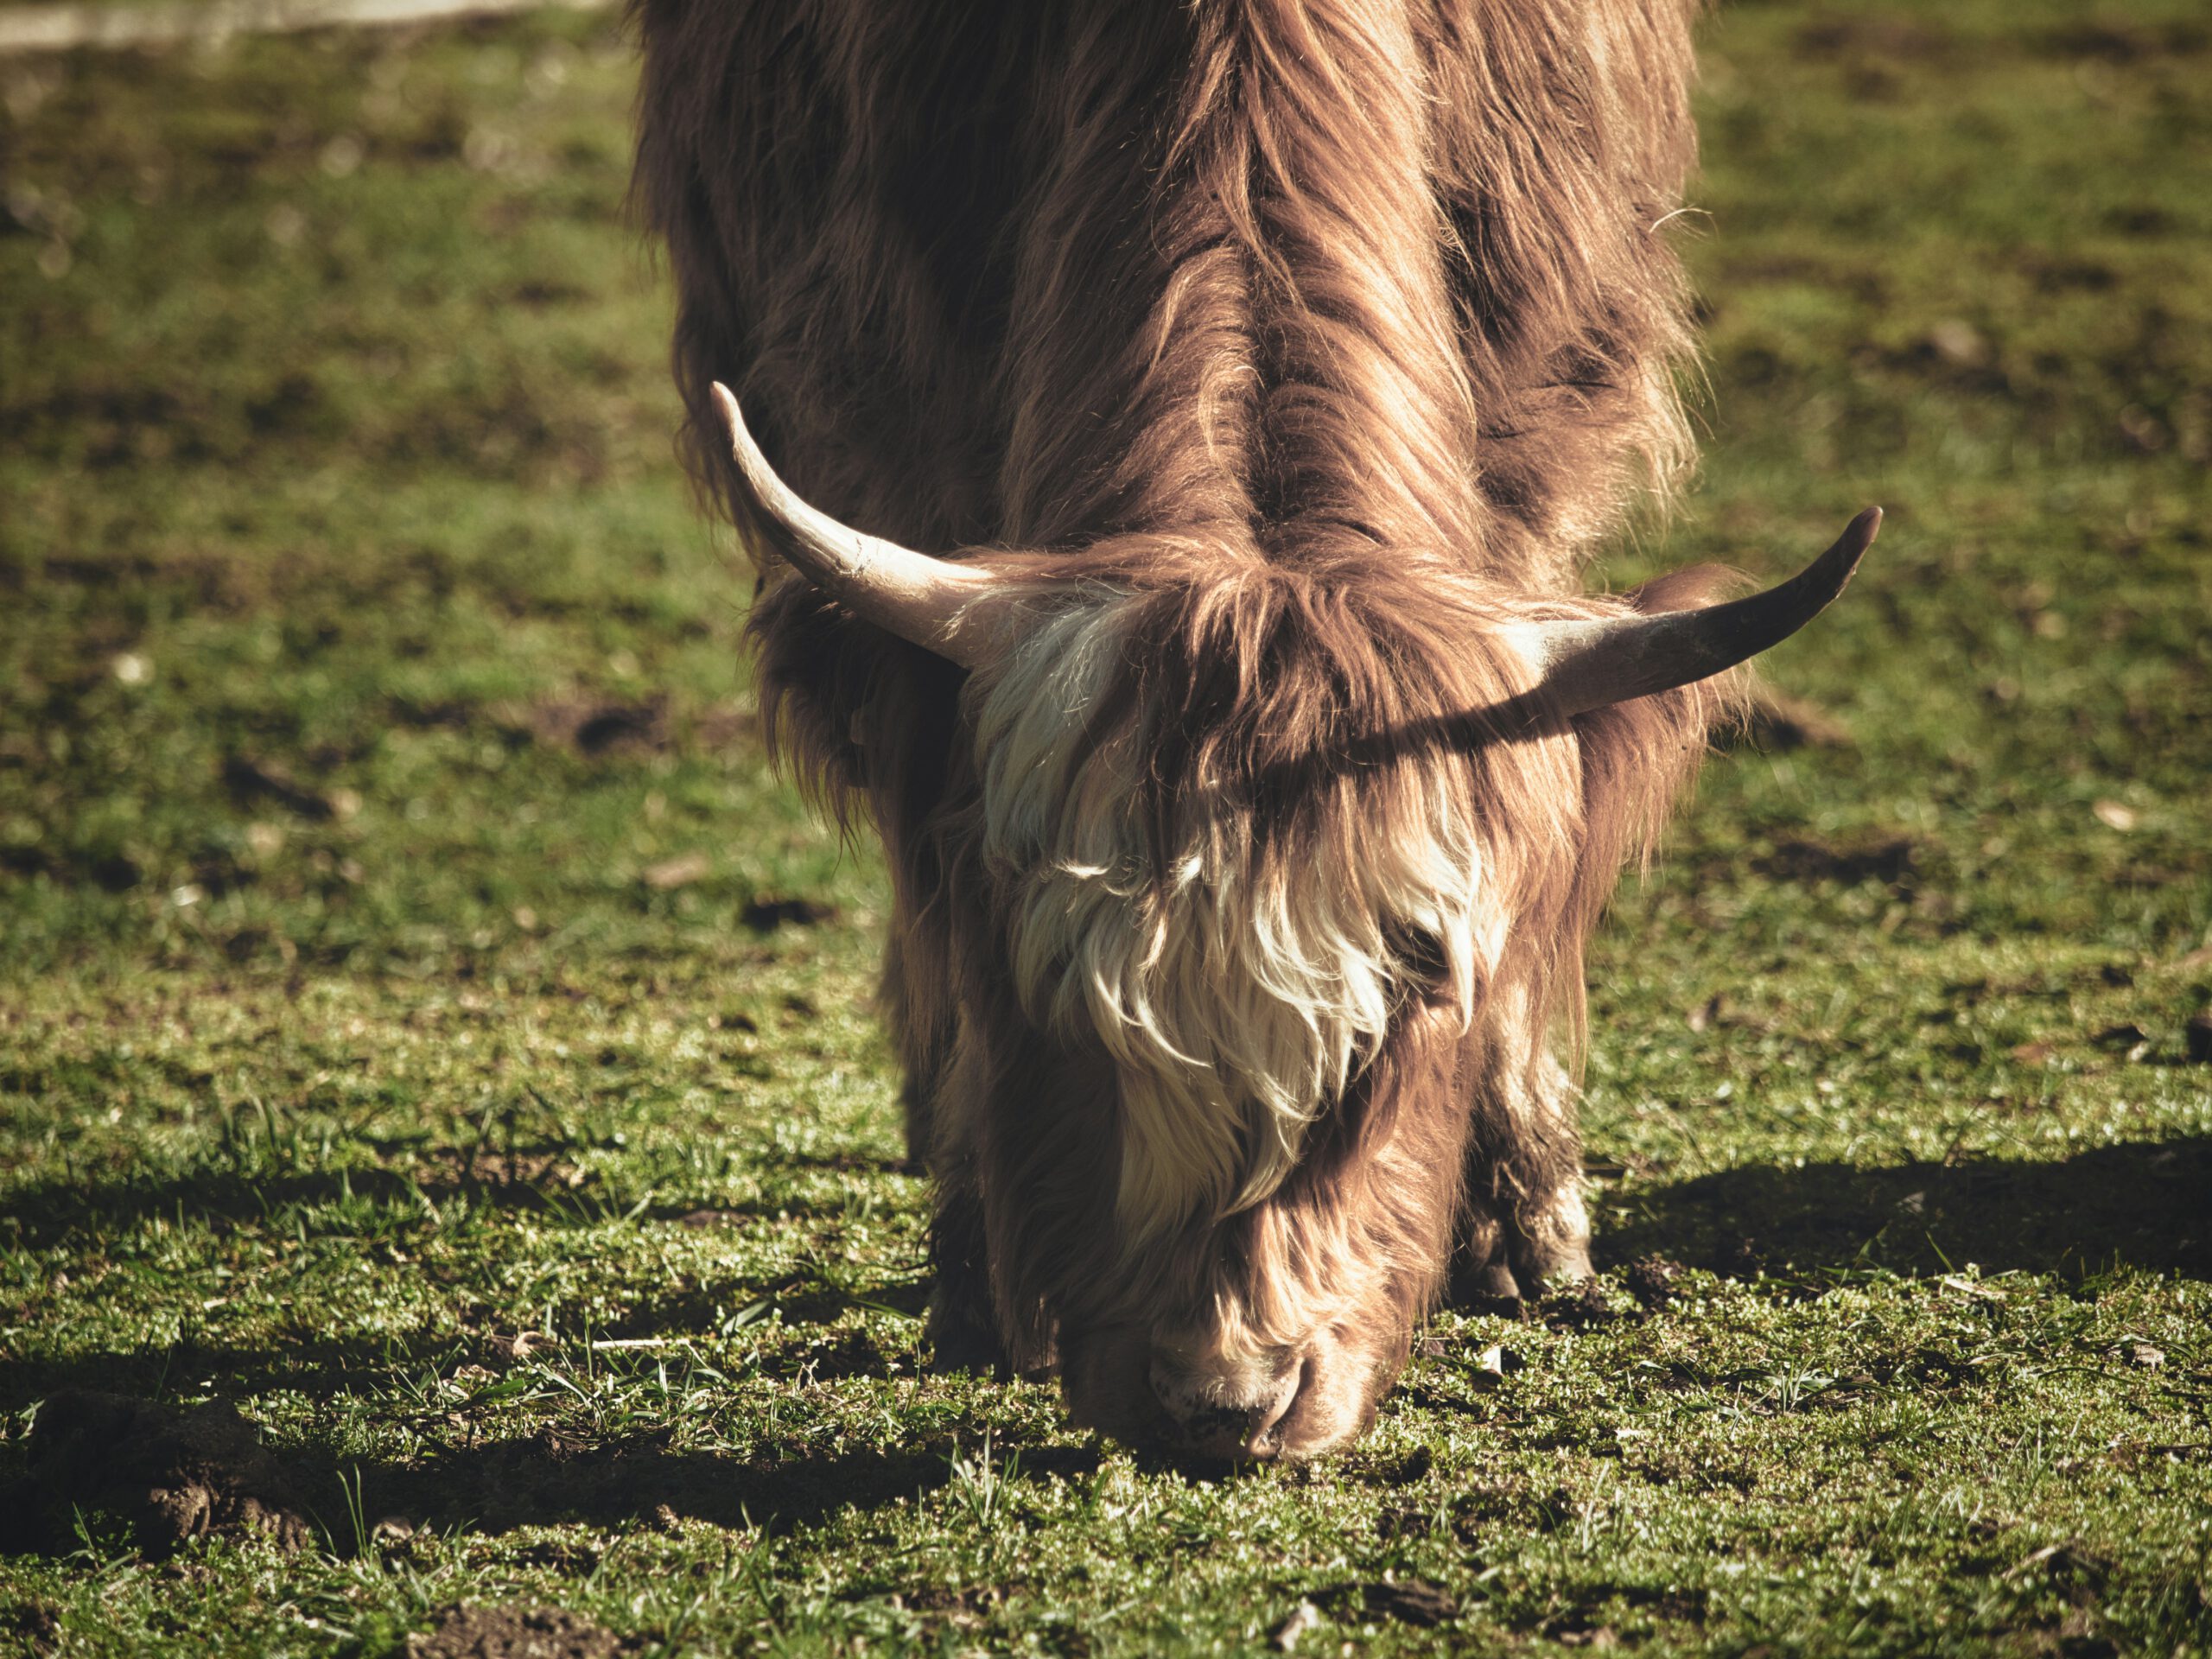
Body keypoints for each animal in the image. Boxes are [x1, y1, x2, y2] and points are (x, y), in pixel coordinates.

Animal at [632, 0, 1875, 1459]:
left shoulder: (1541, 438)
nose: (1222, 1398)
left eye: (1420, 987)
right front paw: (977, 1253)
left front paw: (1529, 1221)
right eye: (1054, 986)